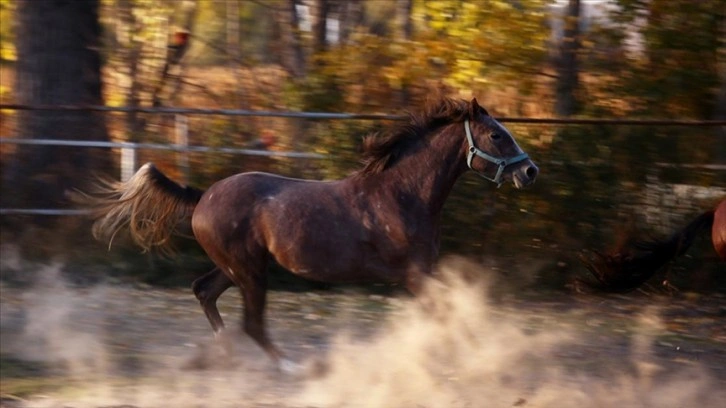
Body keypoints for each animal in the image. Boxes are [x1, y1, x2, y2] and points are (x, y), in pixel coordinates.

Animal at [88, 97, 536, 372]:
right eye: (496, 134)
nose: (530, 171)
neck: (402, 194)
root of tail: (203, 197)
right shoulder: (413, 274)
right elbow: (447, 313)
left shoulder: (422, 273)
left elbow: (451, 310)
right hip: (250, 271)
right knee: (251, 322)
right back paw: (291, 365)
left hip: (237, 267)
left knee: (204, 291)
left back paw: (227, 355)